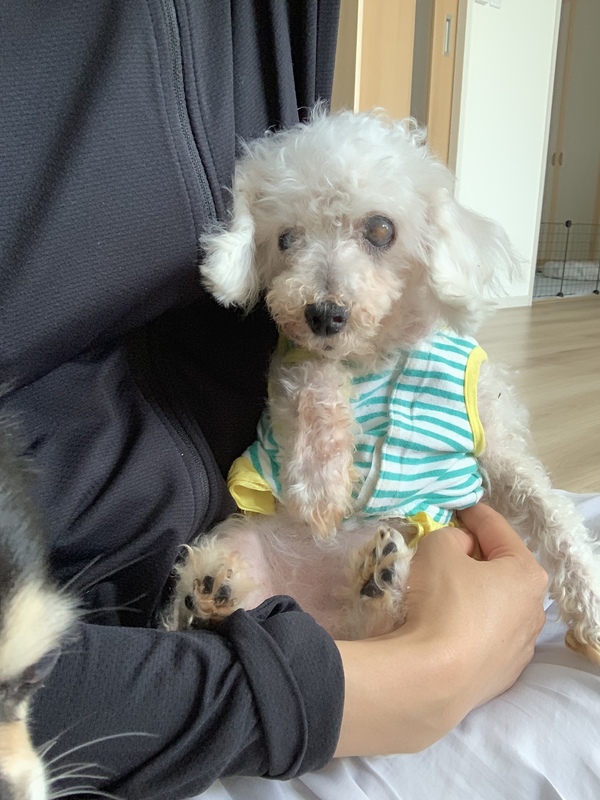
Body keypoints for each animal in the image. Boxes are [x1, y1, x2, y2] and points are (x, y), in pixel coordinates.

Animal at [165, 109, 600, 660]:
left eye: (380, 229)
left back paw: (376, 581)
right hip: (245, 537)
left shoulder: (494, 445)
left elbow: (550, 511)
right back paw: (205, 590)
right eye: (286, 239)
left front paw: (590, 604)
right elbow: (315, 384)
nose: (323, 315)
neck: (383, 353)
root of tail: (321, 612)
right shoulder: (293, 372)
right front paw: (321, 487)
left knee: (382, 620)